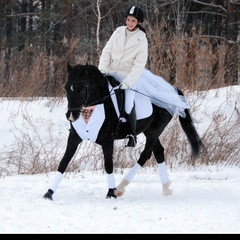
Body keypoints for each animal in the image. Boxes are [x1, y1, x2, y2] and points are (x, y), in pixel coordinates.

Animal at [42, 62, 204, 200]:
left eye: (82, 89)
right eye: (66, 87)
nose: (71, 115)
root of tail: (172, 90)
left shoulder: (107, 141)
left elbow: (108, 165)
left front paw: (110, 193)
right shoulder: (74, 138)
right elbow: (63, 162)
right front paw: (49, 193)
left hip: (154, 131)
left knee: (145, 155)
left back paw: (120, 188)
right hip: (149, 131)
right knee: (158, 152)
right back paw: (166, 188)